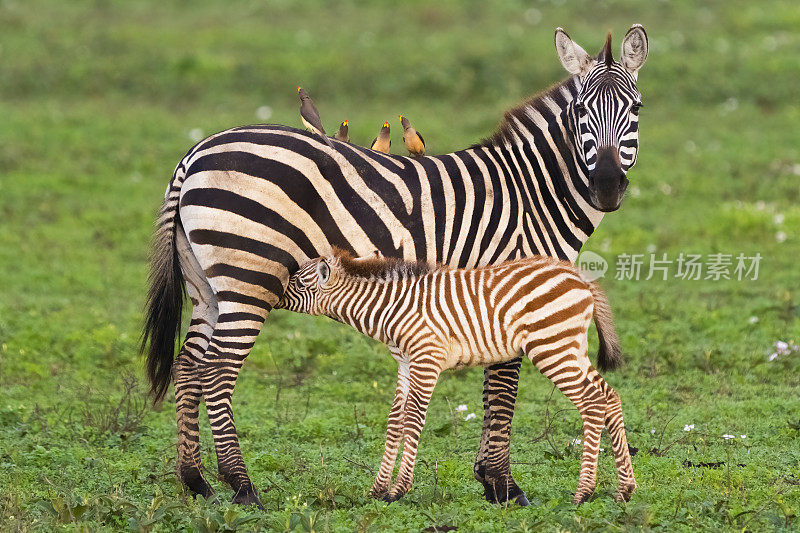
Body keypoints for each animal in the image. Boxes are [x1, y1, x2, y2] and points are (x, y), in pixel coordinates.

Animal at [278, 249, 636, 502]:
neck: (392, 310)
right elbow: (395, 420)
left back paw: (584, 493)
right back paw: (625, 490)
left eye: (296, 282)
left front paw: (398, 490)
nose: (273, 293)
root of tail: (580, 278)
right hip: (571, 348)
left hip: (553, 348)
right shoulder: (405, 364)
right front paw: (378, 490)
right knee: (609, 396)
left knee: (592, 402)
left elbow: (413, 419)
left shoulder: (426, 360)